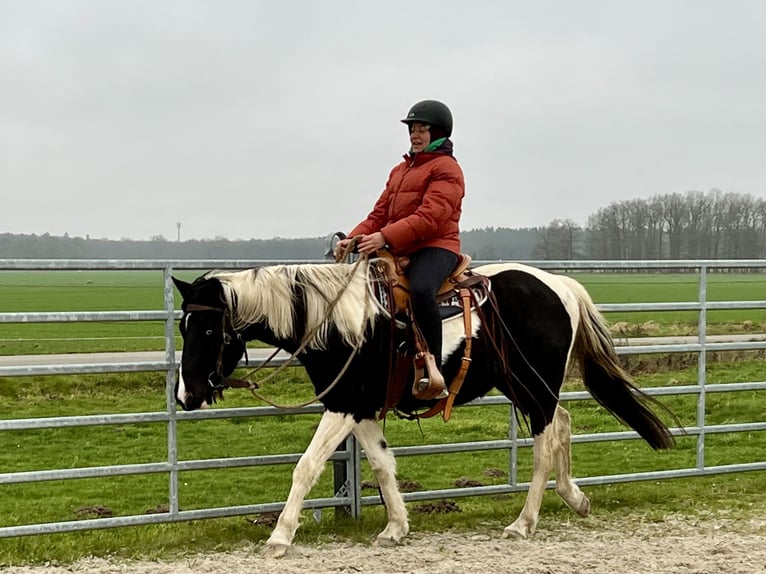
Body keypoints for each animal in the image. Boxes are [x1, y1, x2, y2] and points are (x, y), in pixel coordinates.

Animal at [172, 259, 675, 558]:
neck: (334, 322)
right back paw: (575, 497)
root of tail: (560, 285)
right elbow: (382, 465)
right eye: (183, 326)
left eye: (210, 330)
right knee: (563, 424)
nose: (186, 394)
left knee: (544, 444)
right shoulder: (363, 409)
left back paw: (523, 522)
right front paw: (396, 526)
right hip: (525, 386)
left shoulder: (343, 403)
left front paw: (279, 536)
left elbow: (307, 466)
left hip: (535, 384)